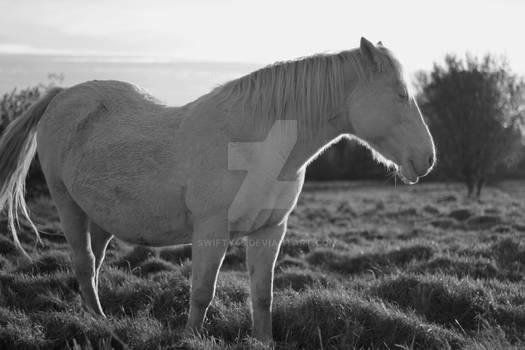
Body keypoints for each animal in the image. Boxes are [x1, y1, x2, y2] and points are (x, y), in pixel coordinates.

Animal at [0, 37, 434, 342]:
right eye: (400, 95)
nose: (427, 159)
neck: (255, 146)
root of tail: (62, 97)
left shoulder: (270, 231)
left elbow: (263, 296)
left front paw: (263, 340)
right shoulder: (211, 232)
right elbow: (202, 293)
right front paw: (191, 337)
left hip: (101, 216)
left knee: (94, 264)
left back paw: (97, 317)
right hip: (67, 205)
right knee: (83, 262)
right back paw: (99, 322)